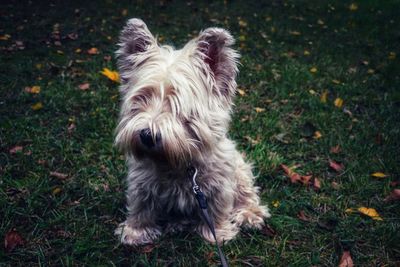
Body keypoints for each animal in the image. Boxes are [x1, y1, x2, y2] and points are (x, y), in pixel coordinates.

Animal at [113, 17, 268, 246]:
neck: (176, 162)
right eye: (142, 98)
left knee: (247, 193)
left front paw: (218, 233)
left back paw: (250, 213)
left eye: (177, 104)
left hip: (240, 169)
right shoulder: (141, 179)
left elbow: (218, 207)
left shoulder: (219, 183)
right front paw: (135, 231)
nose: (147, 136)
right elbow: (141, 204)